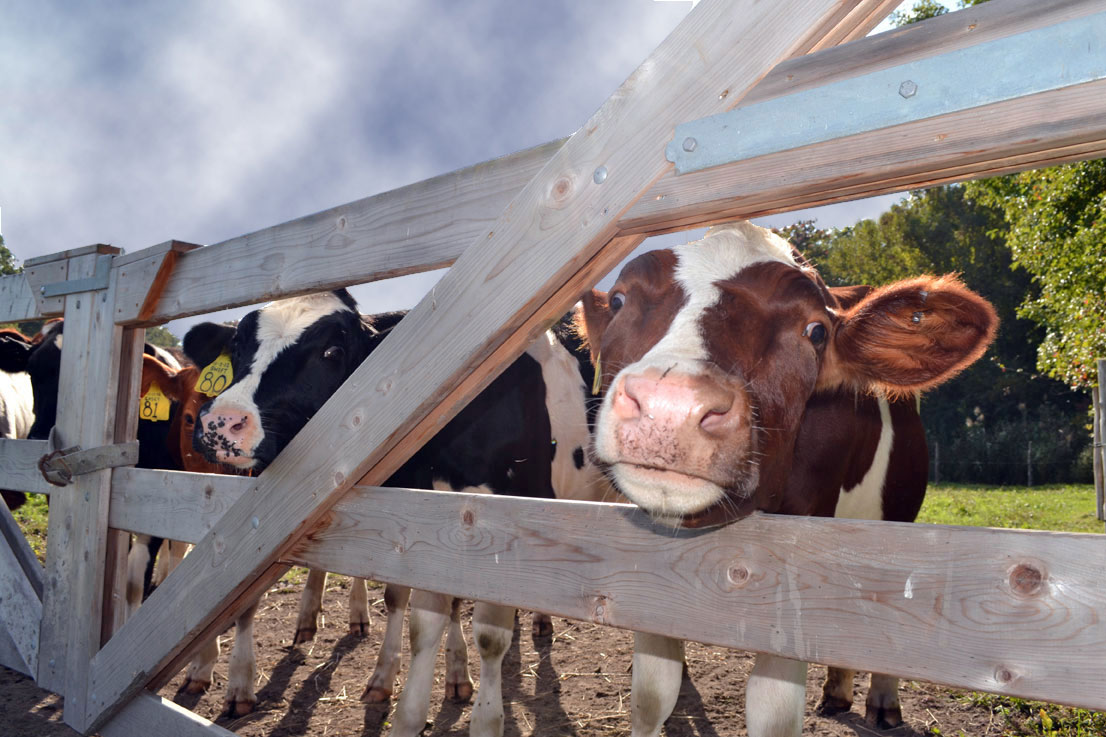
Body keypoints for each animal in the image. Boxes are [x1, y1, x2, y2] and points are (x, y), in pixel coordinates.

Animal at [185, 289, 615, 733]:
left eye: (332, 351)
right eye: (238, 345)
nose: (223, 420)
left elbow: (489, 634)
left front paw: (485, 720)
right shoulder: (425, 524)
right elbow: (424, 620)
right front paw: (408, 710)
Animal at [577, 222, 997, 737]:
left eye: (816, 331)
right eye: (619, 300)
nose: (670, 405)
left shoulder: (793, 573)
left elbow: (773, 708)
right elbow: (652, 693)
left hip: (898, 514)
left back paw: (882, 702)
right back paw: (837, 693)